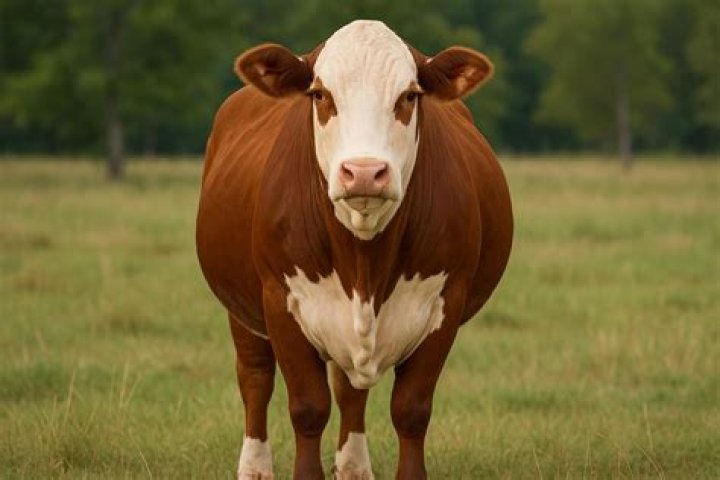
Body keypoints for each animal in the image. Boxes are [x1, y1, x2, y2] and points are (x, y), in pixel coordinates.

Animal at [196, 20, 513, 480]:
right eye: (320, 94)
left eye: (409, 96)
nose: (364, 172)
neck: (364, 260)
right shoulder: (279, 299)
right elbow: (307, 407)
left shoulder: (446, 302)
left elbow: (410, 410)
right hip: (242, 308)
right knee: (255, 378)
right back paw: (254, 467)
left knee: (349, 390)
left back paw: (353, 466)